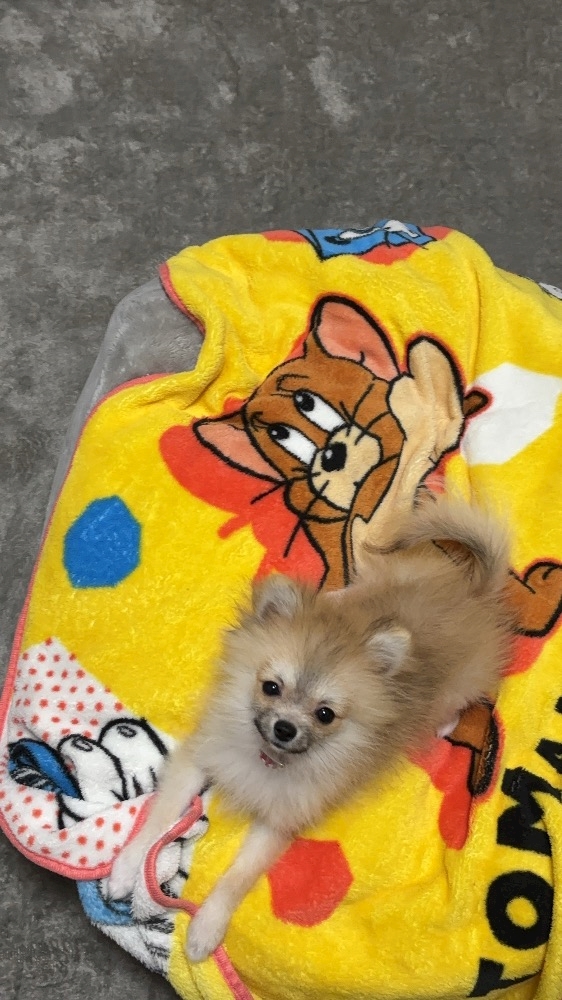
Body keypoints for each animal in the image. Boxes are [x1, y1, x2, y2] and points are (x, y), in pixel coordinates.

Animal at [108, 495, 513, 962]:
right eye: (271, 687)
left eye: (325, 715)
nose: (285, 727)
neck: (267, 757)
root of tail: (474, 595)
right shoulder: (198, 761)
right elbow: (159, 817)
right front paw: (125, 868)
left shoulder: (278, 822)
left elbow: (238, 876)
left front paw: (206, 928)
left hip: (459, 688)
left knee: (455, 704)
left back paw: (441, 723)